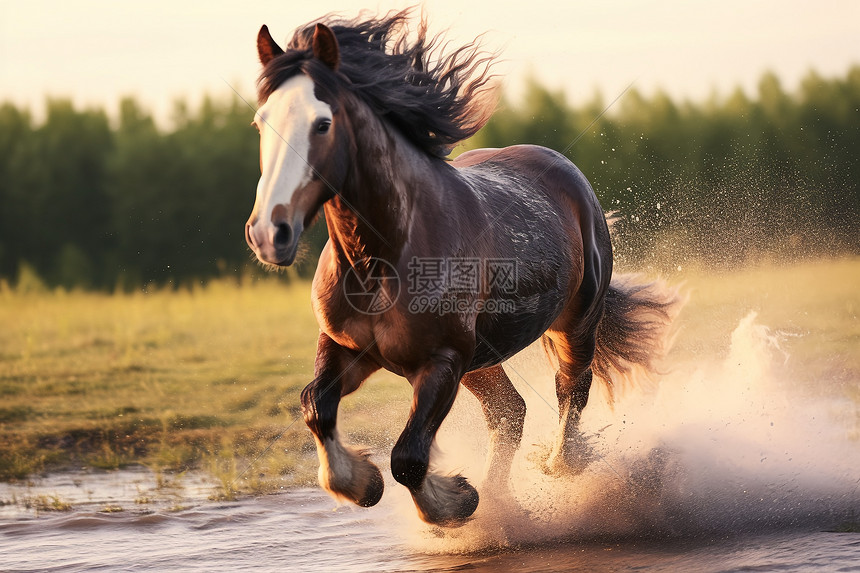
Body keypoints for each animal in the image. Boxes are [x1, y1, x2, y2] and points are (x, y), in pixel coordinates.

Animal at [245, 10, 676, 528]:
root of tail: (570, 175)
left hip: (569, 327)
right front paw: (365, 484)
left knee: (571, 390)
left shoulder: (442, 360)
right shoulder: (346, 347)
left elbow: (408, 457)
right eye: (261, 121)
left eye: (322, 123)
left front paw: (455, 500)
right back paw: (502, 501)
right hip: (481, 360)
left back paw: (555, 465)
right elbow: (316, 406)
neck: (380, 261)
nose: (270, 232)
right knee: (510, 412)